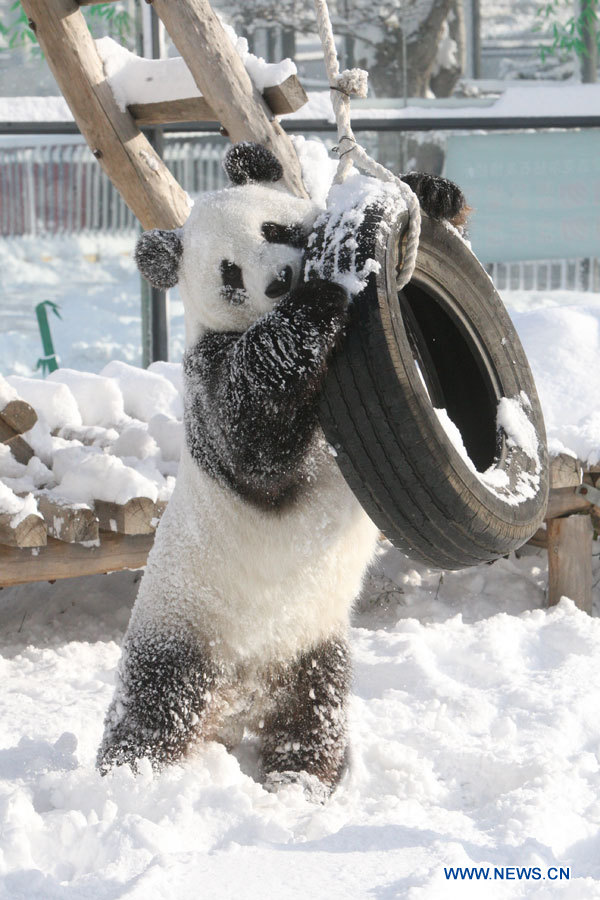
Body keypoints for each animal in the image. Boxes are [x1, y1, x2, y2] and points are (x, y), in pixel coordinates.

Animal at [96, 137, 466, 800]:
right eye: (229, 274)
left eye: (273, 228)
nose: (281, 279)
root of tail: (237, 701)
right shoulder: (207, 374)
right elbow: (254, 437)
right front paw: (322, 290)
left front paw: (432, 193)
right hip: (183, 626)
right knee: (154, 708)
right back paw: (133, 780)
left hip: (311, 643)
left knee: (314, 708)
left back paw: (300, 781)